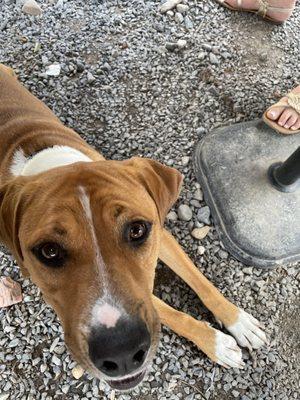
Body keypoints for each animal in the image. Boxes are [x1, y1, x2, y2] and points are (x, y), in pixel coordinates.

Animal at [0, 65, 268, 390]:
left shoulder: (160, 234)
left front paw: (238, 321)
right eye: (49, 251)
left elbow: (201, 281)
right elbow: (172, 314)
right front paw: (215, 342)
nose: (121, 353)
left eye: (137, 230)